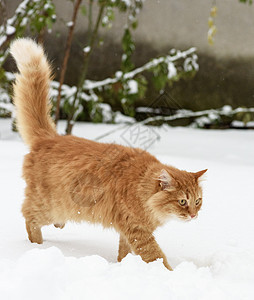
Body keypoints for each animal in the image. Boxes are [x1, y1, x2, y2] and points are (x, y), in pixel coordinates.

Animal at [10, 38, 207, 270]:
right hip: (51, 206)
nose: (193, 215)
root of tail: (50, 137)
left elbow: (124, 253)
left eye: (198, 201)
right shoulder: (138, 231)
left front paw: (123, 266)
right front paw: (168, 274)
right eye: (182, 202)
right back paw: (37, 246)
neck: (142, 187)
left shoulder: (127, 230)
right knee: (28, 216)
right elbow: (156, 256)